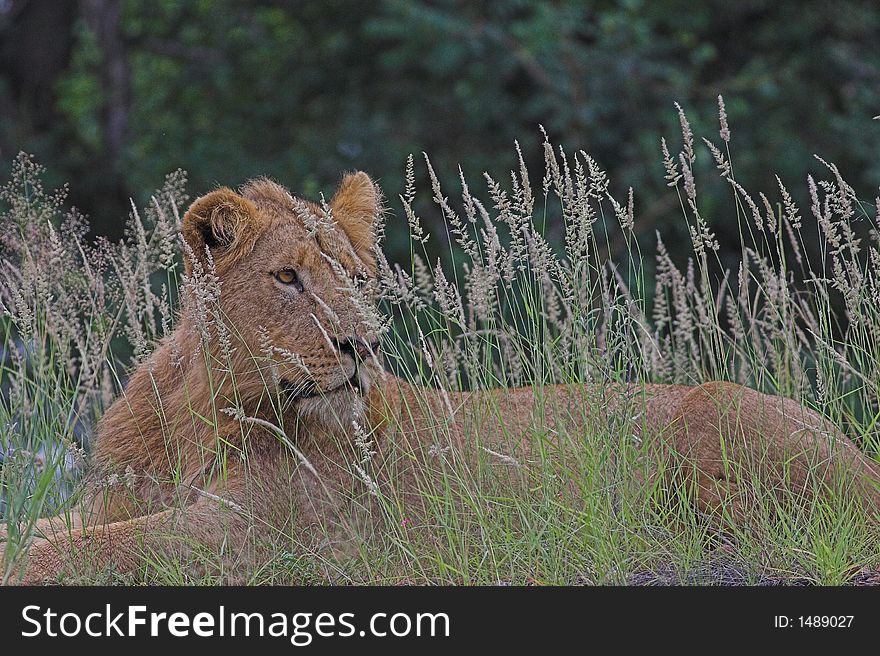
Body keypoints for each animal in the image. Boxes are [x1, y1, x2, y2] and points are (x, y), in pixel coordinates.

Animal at [1, 173, 880, 584]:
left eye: (357, 277)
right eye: (288, 278)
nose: (360, 344)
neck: (201, 409)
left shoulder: (256, 537)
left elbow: (89, 550)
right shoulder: (115, 497)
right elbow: (48, 530)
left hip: (716, 412)